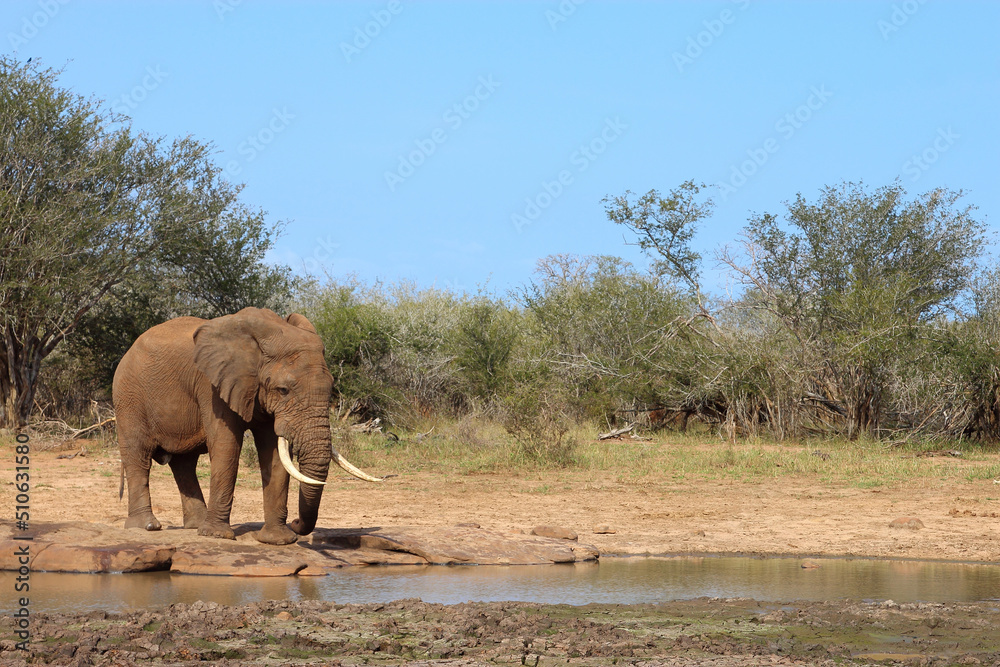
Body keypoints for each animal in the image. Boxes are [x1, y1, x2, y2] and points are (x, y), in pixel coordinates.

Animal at [112, 306, 383, 545]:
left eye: (330, 388)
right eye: (283, 390)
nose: (296, 522)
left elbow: (274, 451)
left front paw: (278, 540)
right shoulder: (212, 386)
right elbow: (227, 446)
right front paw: (218, 536)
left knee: (184, 464)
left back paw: (195, 525)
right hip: (128, 397)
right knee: (138, 456)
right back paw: (147, 526)